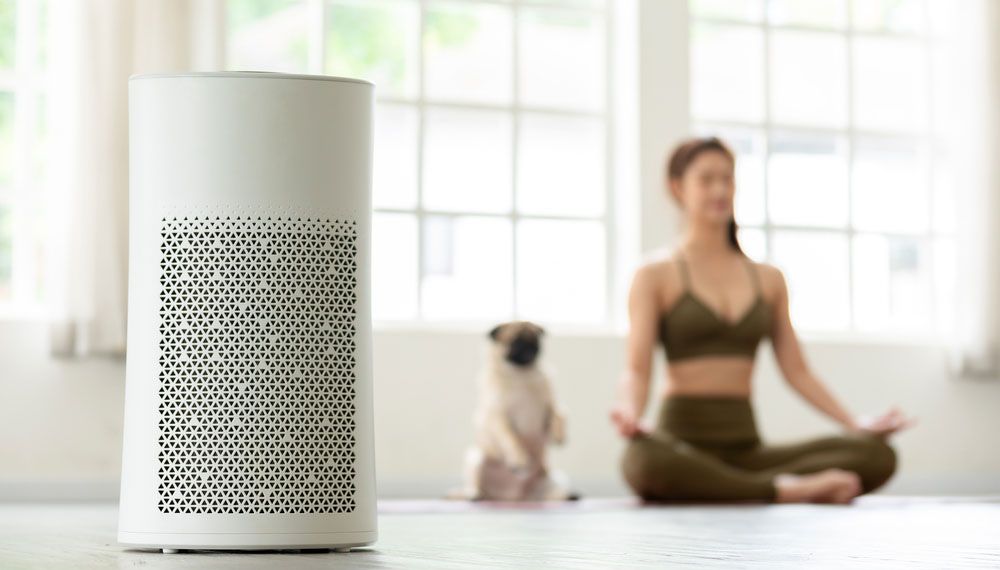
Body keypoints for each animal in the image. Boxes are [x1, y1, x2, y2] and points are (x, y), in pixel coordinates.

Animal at [454, 322, 580, 500]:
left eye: (536, 340)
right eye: (515, 341)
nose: (531, 347)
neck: (521, 377)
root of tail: (511, 496)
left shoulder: (553, 405)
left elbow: (559, 415)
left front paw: (559, 436)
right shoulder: (498, 418)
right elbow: (511, 438)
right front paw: (519, 459)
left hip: (552, 478)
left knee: (548, 494)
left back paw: (566, 496)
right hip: (475, 458)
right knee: (475, 485)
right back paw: (474, 494)